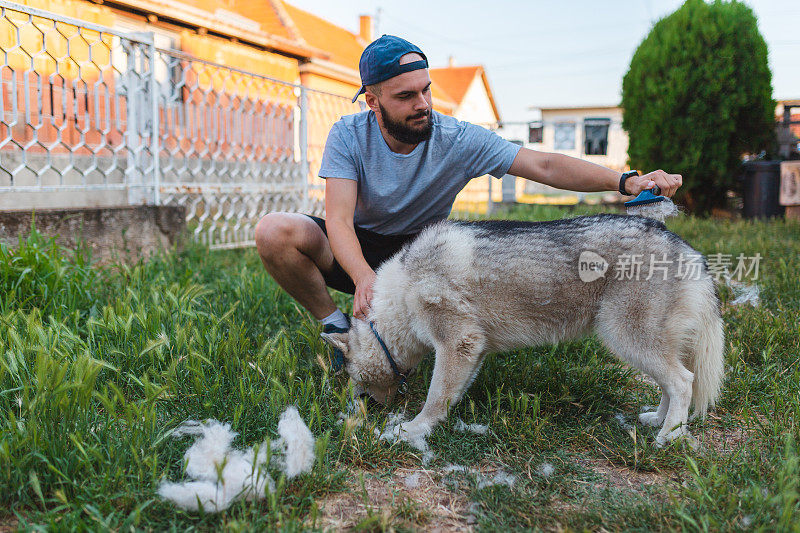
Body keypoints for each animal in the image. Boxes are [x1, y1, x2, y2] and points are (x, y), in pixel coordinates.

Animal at [320, 214, 724, 446]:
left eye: (356, 380)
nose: (364, 407)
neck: (398, 301)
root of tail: (677, 239)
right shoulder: (473, 351)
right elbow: (450, 395)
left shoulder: (456, 344)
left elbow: (435, 398)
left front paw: (413, 430)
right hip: (642, 345)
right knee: (672, 383)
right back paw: (657, 421)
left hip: (627, 339)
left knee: (683, 382)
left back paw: (667, 438)